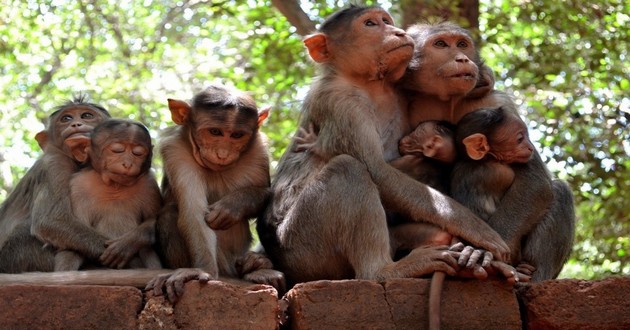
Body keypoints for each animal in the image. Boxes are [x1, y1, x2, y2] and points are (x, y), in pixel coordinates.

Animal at [53, 118, 163, 270]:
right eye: (117, 150)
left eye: (138, 153)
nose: (127, 164)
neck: (114, 186)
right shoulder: (77, 186)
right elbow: (73, 234)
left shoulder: (148, 184)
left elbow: (152, 220)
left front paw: (126, 245)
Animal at [144, 85, 286, 302]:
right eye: (215, 132)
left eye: (236, 135)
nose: (223, 154)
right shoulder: (176, 150)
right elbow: (194, 214)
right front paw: (202, 271)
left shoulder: (258, 149)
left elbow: (265, 193)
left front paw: (232, 207)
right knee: (169, 214)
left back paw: (258, 267)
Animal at [256, 3, 528, 290]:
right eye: (370, 24)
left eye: (386, 20)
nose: (397, 32)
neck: (368, 83)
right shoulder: (339, 103)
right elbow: (377, 171)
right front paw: (477, 229)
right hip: (303, 249)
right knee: (348, 169)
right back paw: (384, 271)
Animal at [402, 21, 580, 282]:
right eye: (441, 44)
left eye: (462, 44)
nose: (462, 58)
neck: (450, 100)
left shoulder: (497, 103)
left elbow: (535, 183)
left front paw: (482, 250)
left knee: (558, 189)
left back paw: (534, 273)